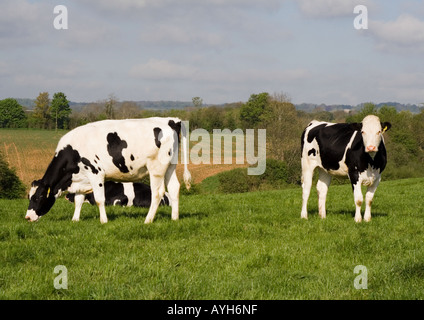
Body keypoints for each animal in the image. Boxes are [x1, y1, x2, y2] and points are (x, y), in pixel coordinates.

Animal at [25, 116, 190, 224]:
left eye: (38, 197)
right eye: (29, 196)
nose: (27, 217)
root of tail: (171, 120)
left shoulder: (95, 173)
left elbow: (99, 199)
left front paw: (103, 220)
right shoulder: (81, 178)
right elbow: (78, 200)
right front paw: (75, 219)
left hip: (156, 167)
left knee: (157, 192)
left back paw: (148, 220)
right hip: (170, 166)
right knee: (174, 188)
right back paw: (174, 218)